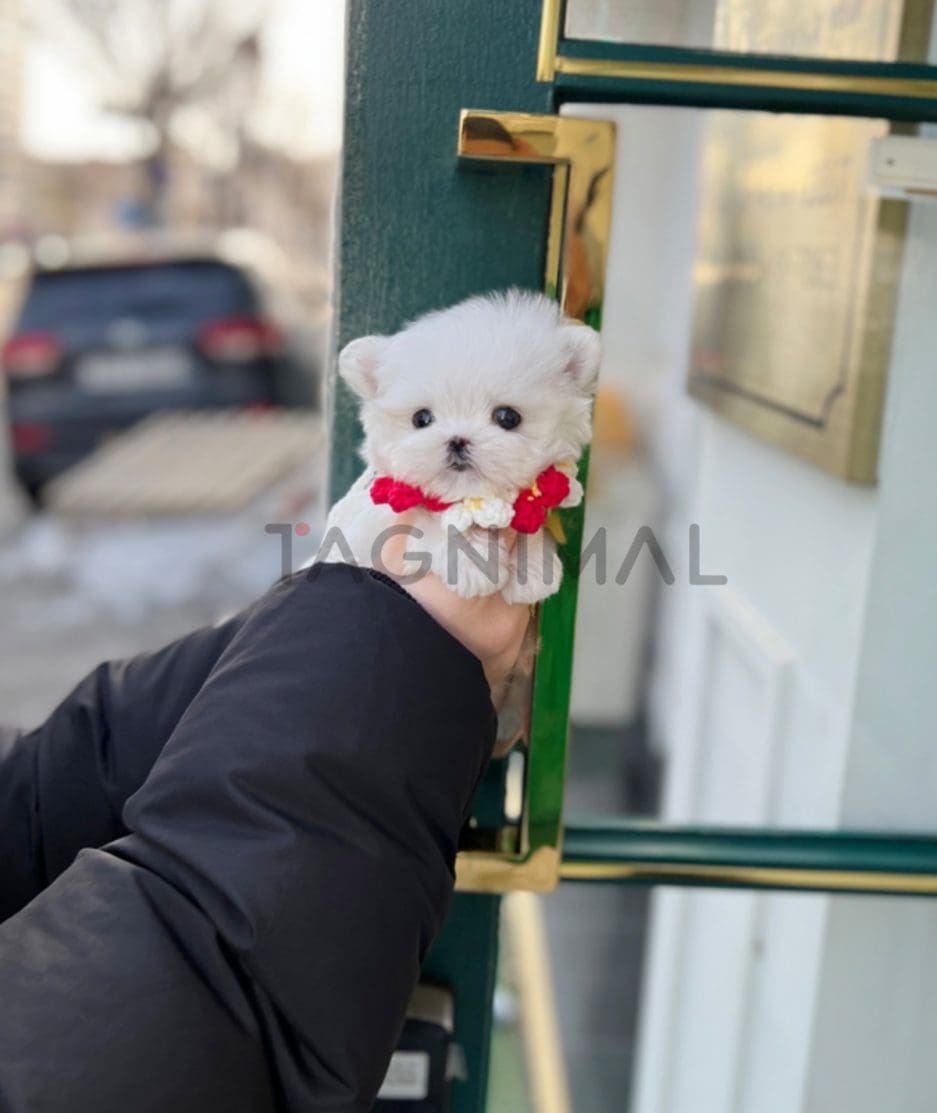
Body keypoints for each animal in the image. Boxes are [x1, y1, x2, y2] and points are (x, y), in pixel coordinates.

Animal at [320, 287, 600, 601]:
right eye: (421, 418)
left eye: (508, 417)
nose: (457, 441)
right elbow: (434, 522)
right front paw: (471, 563)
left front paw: (534, 567)